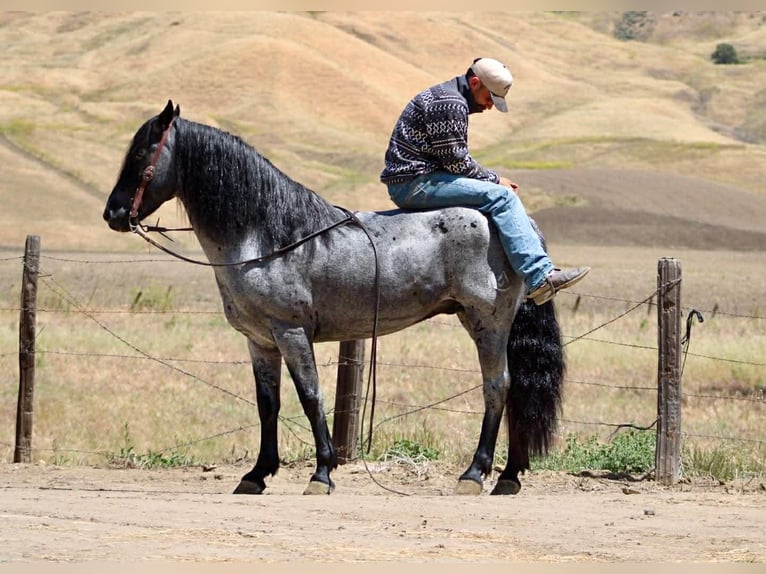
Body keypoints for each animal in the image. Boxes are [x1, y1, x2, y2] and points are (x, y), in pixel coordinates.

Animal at [103, 100, 564, 496]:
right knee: (516, 390)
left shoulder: (291, 332)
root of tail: (518, 226)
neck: (271, 236)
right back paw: (508, 476)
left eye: (142, 155)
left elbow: (311, 397)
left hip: (487, 321)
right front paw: (257, 474)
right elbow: (268, 404)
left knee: (498, 387)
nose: (113, 214)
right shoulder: (260, 341)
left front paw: (322, 472)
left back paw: (474, 473)